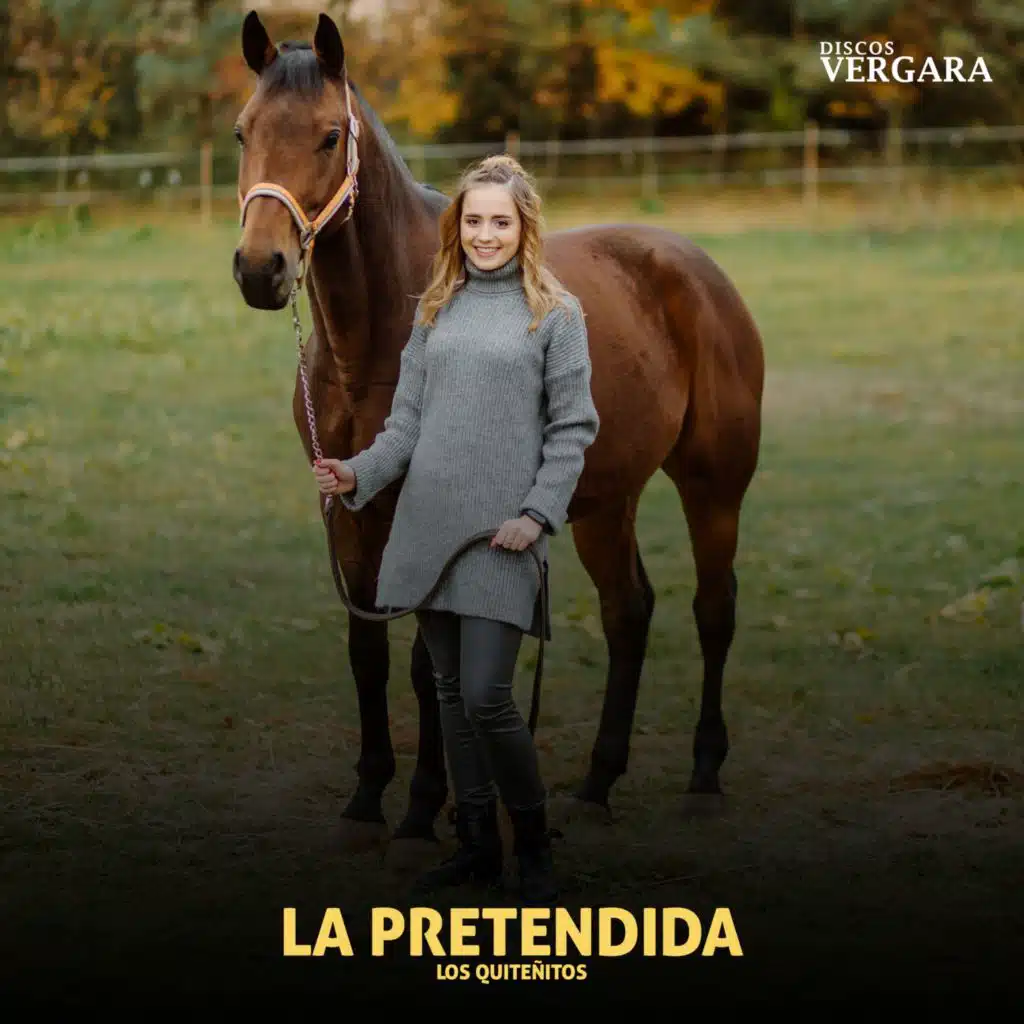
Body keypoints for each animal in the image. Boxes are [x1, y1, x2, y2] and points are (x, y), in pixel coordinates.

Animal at [231, 10, 765, 855]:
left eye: (327, 136)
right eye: (242, 131)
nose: (261, 268)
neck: (377, 338)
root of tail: (694, 266)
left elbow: (427, 664)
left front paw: (423, 808)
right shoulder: (346, 511)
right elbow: (366, 653)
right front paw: (365, 797)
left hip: (713, 486)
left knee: (714, 609)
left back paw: (705, 778)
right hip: (603, 500)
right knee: (629, 611)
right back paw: (597, 783)